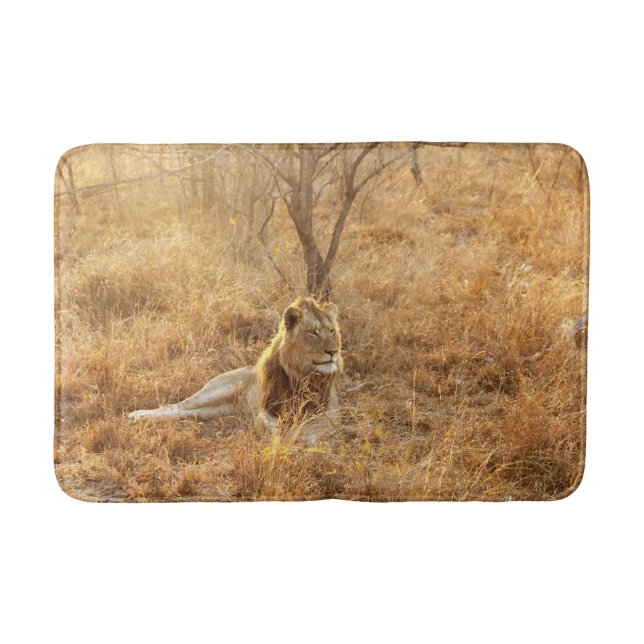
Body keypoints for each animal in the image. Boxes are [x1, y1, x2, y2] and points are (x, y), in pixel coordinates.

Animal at [128, 297, 343, 437]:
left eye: (332, 331)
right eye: (312, 332)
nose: (333, 352)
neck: (302, 374)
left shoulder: (330, 411)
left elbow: (312, 428)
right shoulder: (267, 409)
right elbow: (264, 425)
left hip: (218, 409)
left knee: (186, 412)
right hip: (214, 391)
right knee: (178, 405)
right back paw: (138, 415)